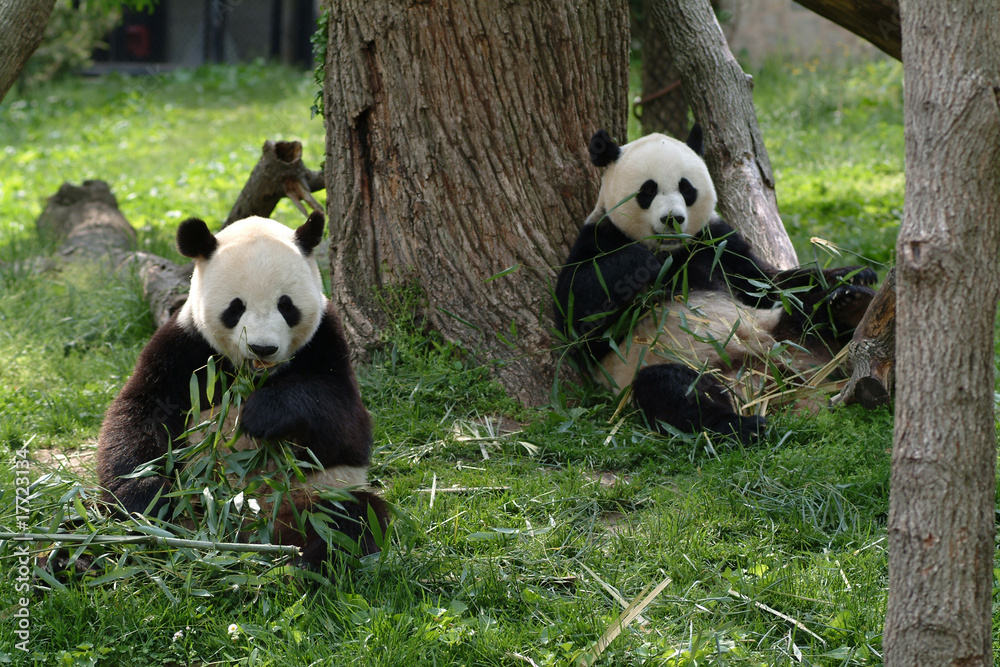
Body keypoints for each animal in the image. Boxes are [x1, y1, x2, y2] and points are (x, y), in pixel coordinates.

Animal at [95, 214, 388, 568]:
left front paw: (264, 414)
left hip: (312, 495)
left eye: (286, 306)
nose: (263, 348)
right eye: (236, 308)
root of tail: (242, 531)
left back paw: (304, 563)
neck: (252, 376)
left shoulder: (326, 342)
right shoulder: (184, 347)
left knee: (348, 519)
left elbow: (347, 427)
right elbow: (140, 413)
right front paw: (146, 501)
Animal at [556, 129, 876, 444]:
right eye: (648, 191)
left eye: (686, 188)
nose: (672, 218)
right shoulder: (600, 236)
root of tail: (769, 381)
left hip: (781, 331)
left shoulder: (718, 243)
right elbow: (577, 322)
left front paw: (854, 274)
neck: (673, 250)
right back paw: (742, 426)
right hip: (671, 364)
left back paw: (850, 304)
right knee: (674, 389)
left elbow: (768, 283)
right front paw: (642, 264)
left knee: (807, 313)